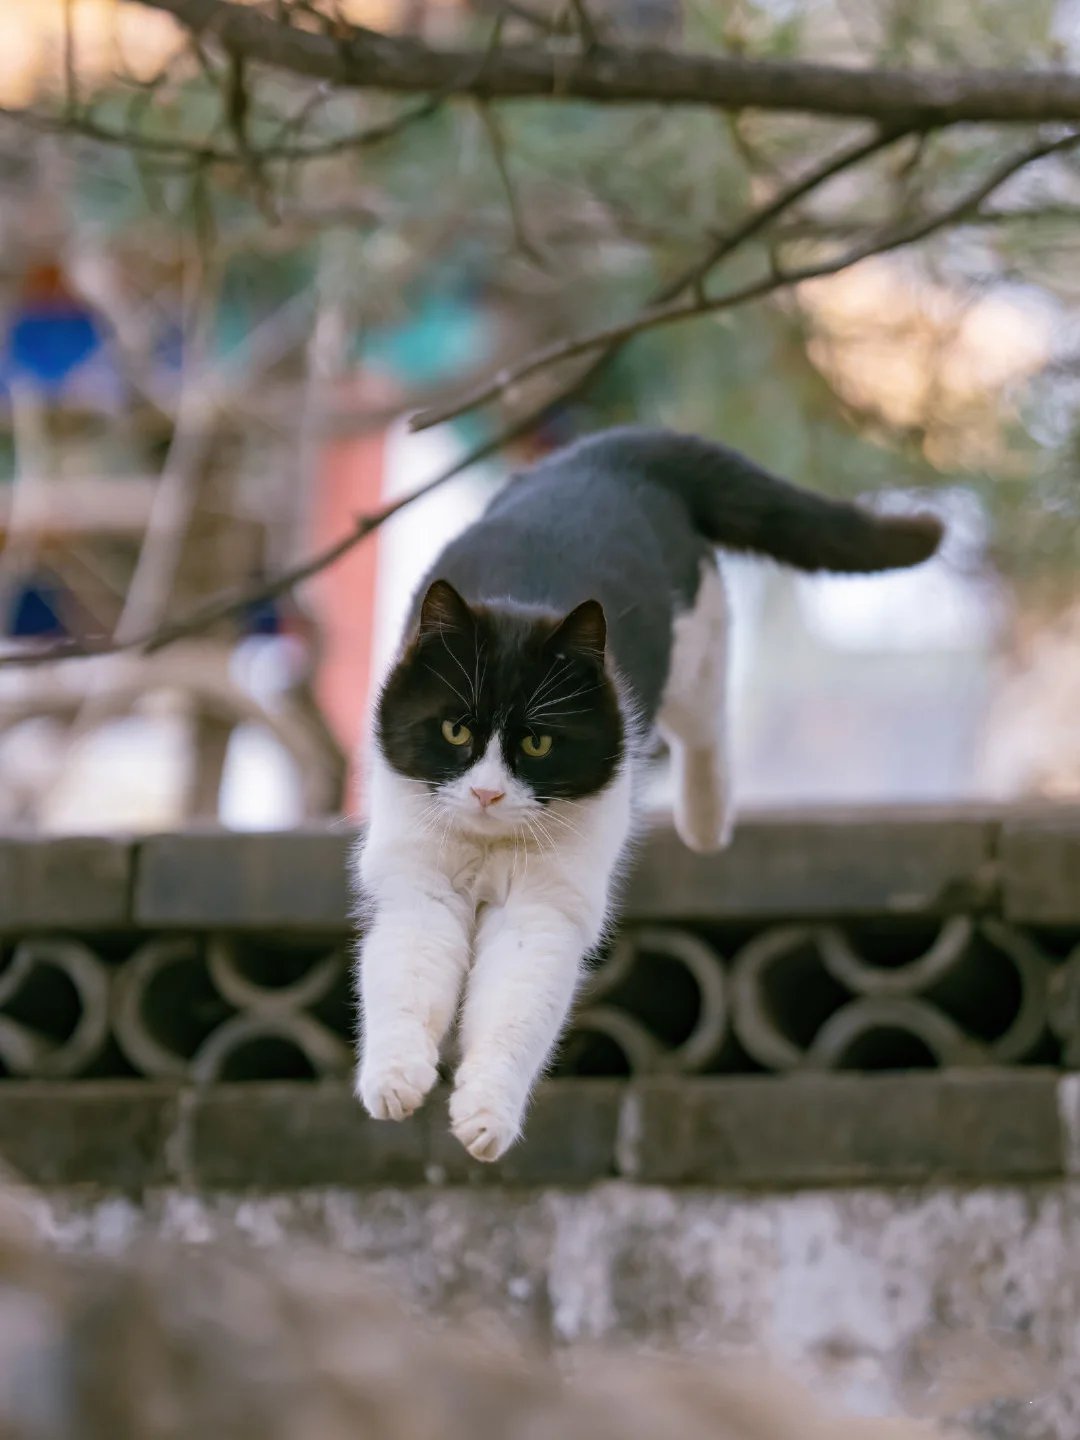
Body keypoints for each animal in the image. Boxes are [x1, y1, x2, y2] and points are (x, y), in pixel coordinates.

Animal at [352, 426, 938, 1157]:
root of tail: (610, 451)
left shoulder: (543, 911)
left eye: (538, 745)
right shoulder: (419, 885)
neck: (489, 849)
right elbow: (404, 980)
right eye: (456, 729)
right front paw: (394, 1084)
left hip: (698, 650)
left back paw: (707, 823)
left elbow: (515, 1011)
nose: (487, 795)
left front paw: (487, 1119)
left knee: (708, 728)